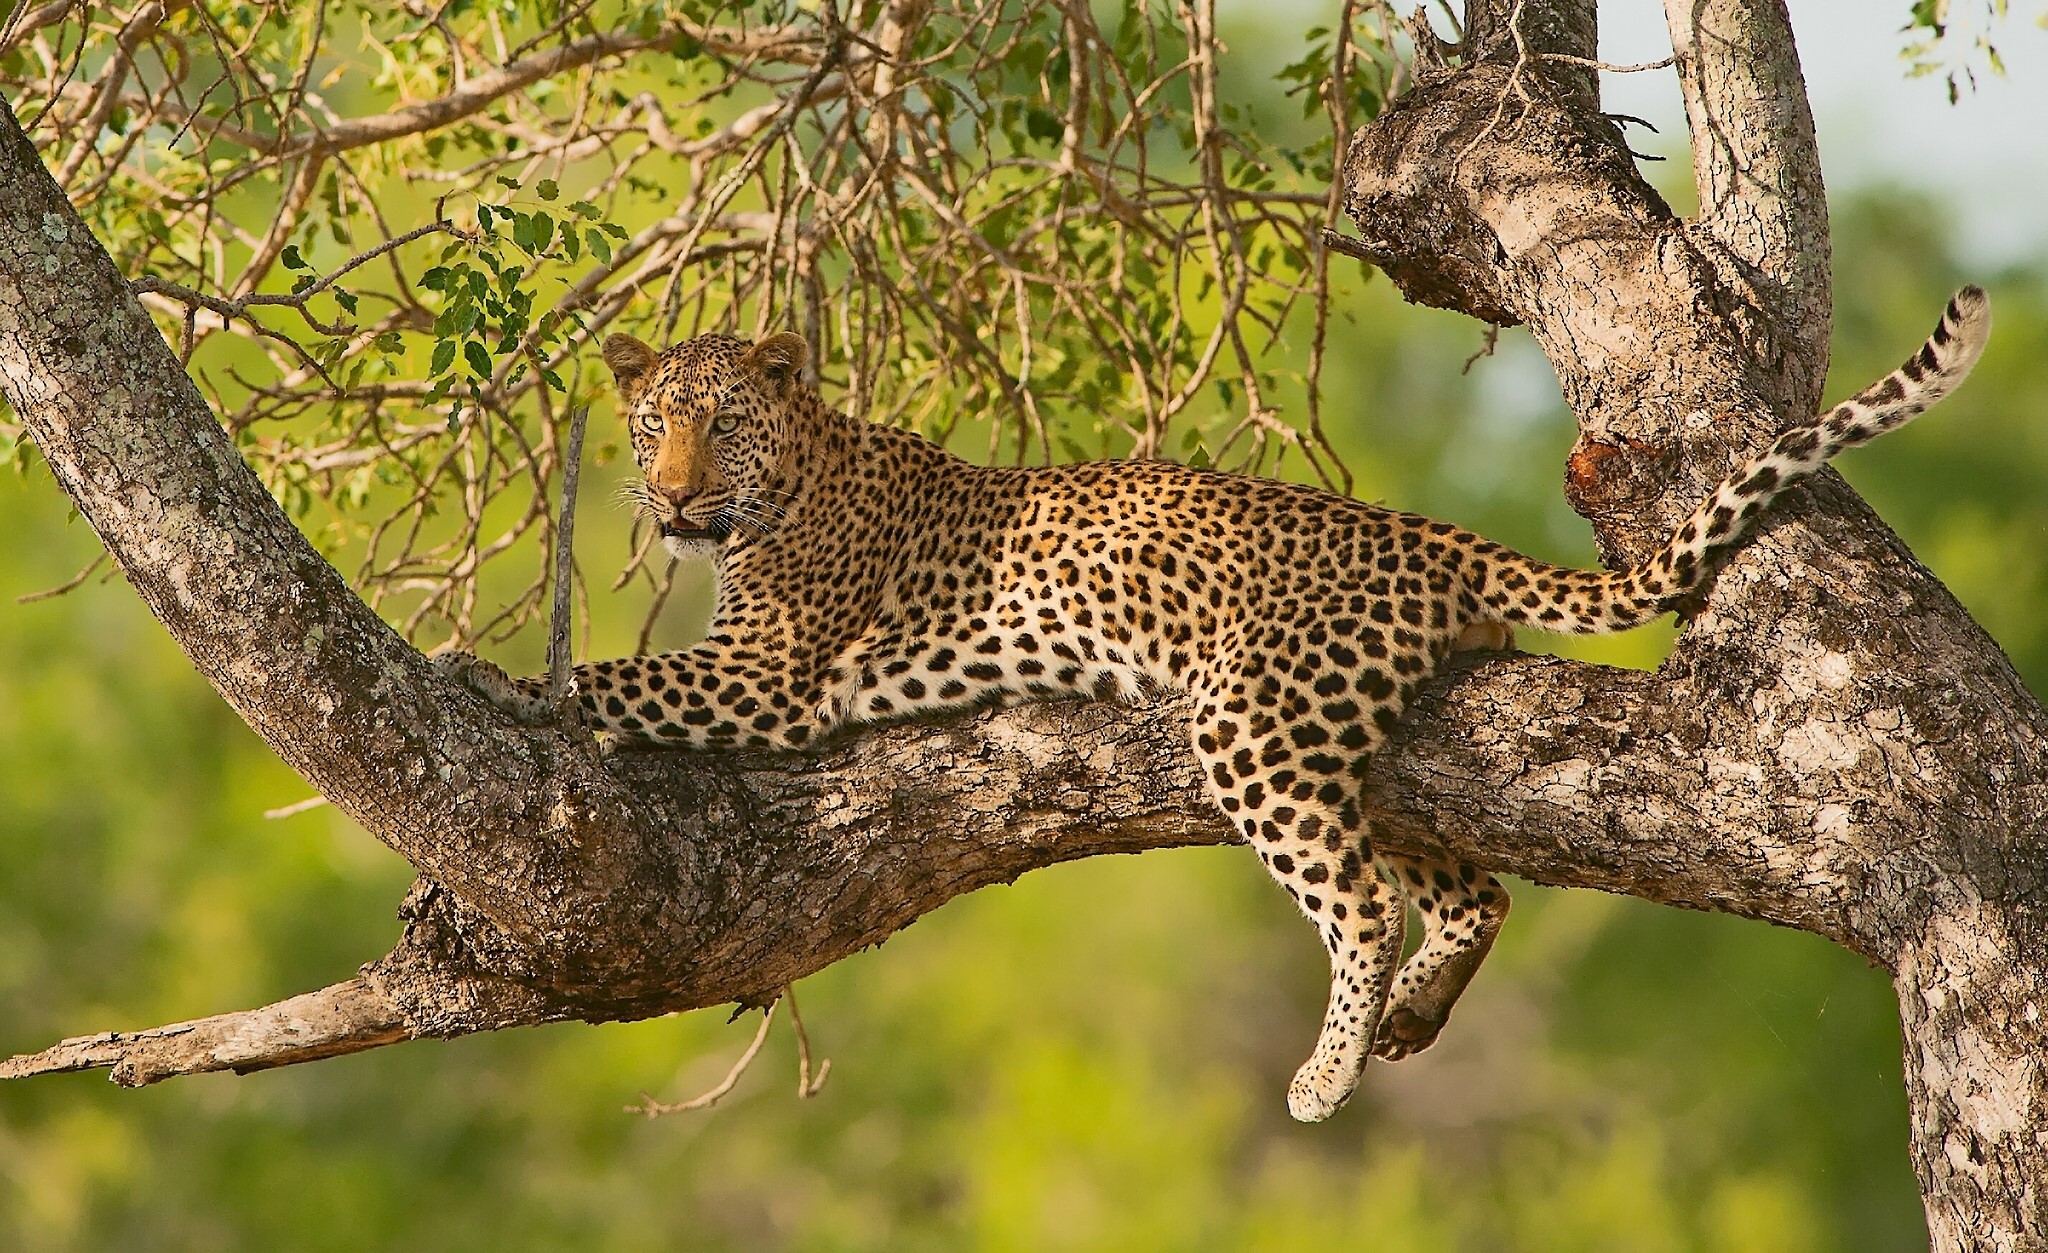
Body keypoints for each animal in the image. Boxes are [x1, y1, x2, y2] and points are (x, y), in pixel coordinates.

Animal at [440, 287, 1990, 1122]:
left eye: (722, 426)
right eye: (653, 426)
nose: (671, 499)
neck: (791, 484)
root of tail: (1419, 534)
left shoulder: (769, 678)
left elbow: (601, 676)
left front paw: (479, 673)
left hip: (1252, 721)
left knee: (1361, 902)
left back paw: (1326, 1070)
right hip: (1351, 739)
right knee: (1469, 885)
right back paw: (1411, 1021)